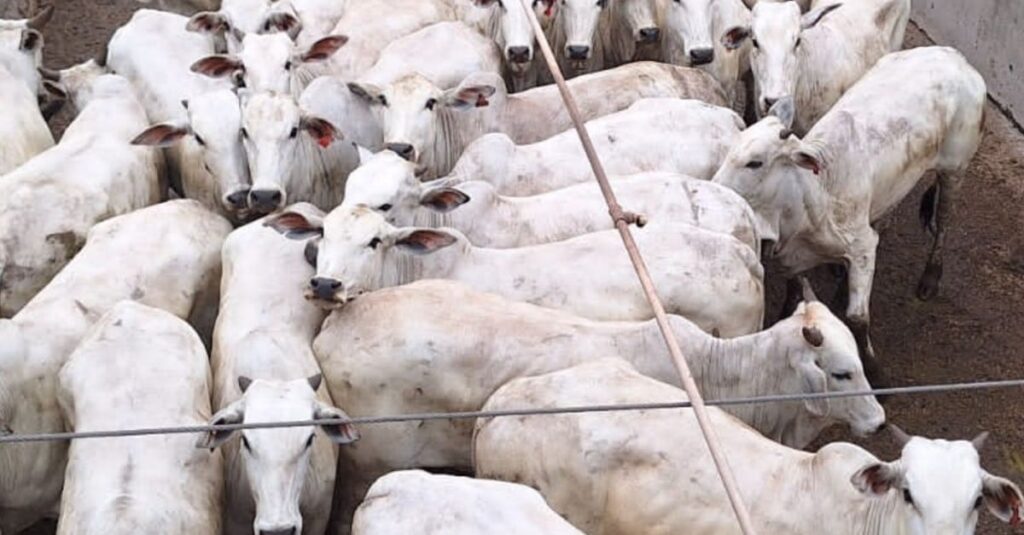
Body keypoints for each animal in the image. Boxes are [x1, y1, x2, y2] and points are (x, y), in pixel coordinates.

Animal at [711, 47, 986, 382]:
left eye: (755, 162)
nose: (714, 184)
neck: (817, 195)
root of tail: (955, 57)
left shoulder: (863, 246)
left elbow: (857, 318)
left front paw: (875, 370)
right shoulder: (792, 253)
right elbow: (796, 289)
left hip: (955, 170)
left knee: (944, 220)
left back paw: (930, 277)